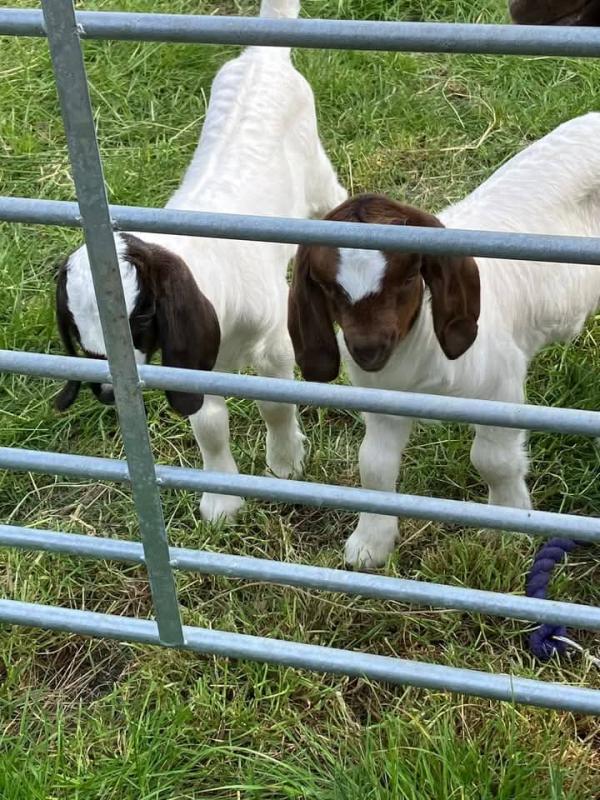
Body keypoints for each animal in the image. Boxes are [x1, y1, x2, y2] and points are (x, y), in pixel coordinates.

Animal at [55, 0, 346, 523]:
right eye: (72, 322)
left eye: (142, 314)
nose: (106, 391)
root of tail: (261, 56)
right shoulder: (193, 357)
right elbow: (208, 423)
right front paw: (221, 502)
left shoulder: (274, 342)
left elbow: (276, 406)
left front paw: (285, 465)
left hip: (317, 176)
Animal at [289, 112, 600, 567]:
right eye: (328, 287)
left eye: (406, 278)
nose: (368, 350)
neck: (420, 355)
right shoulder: (382, 401)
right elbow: (374, 466)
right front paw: (370, 544)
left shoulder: (499, 388)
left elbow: (493, 461)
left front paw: (507, 524)